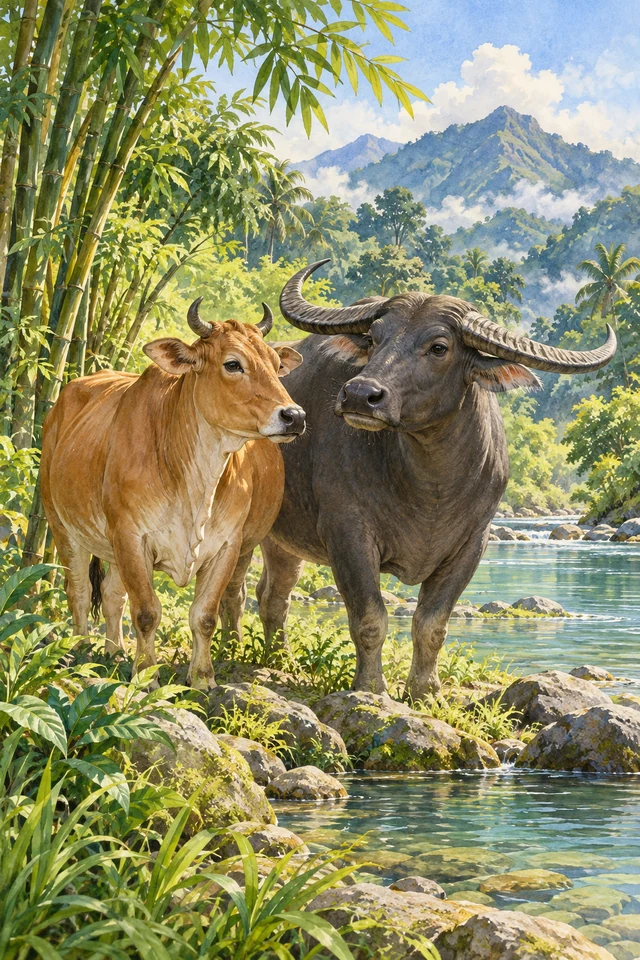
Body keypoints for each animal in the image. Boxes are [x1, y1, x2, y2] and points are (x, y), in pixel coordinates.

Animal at [41, 301, 305, 689]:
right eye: (233, 363)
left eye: (275, 364)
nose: (293, 416)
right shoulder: (131, 537)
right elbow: (147, 612)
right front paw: (146, 676)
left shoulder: (226, 546)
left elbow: (204, 616)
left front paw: (203, 677)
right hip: (63, 527)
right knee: (79, 592)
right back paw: (81, 649)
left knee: (111, 594)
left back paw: (114, 652)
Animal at [245, 260, 616, 699]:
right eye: (374, 338)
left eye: (439, 347)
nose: (359, 394)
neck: (430, 486)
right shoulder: (347, 532)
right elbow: (370, 617)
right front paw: (371, 687)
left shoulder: (473, 543)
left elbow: (432, 624)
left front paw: (425, 689)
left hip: (283, 541)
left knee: (273, 595)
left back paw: (278, 659)